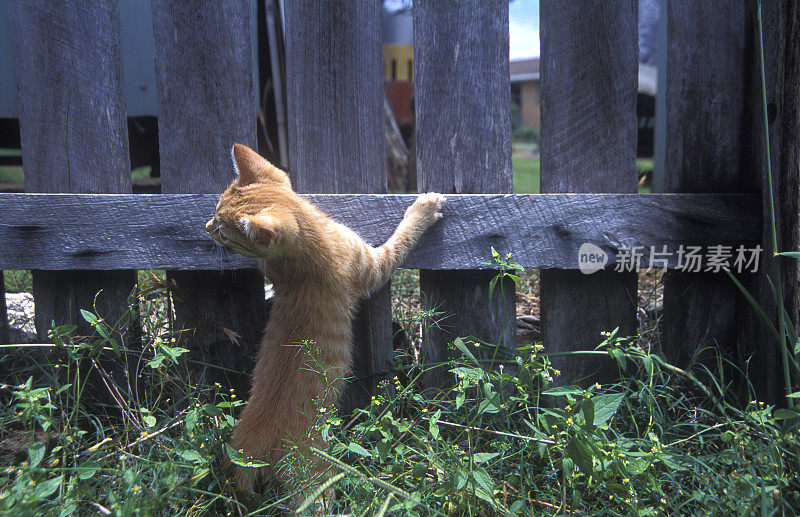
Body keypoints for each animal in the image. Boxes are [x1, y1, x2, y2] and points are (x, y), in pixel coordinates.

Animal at [205, 143, 444, 490]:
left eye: (222, 230)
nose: (206, 228)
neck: (308, 240)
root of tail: (250, 453)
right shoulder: (373, 267)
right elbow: (401, 241)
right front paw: (423, 208)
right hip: (314, 477)